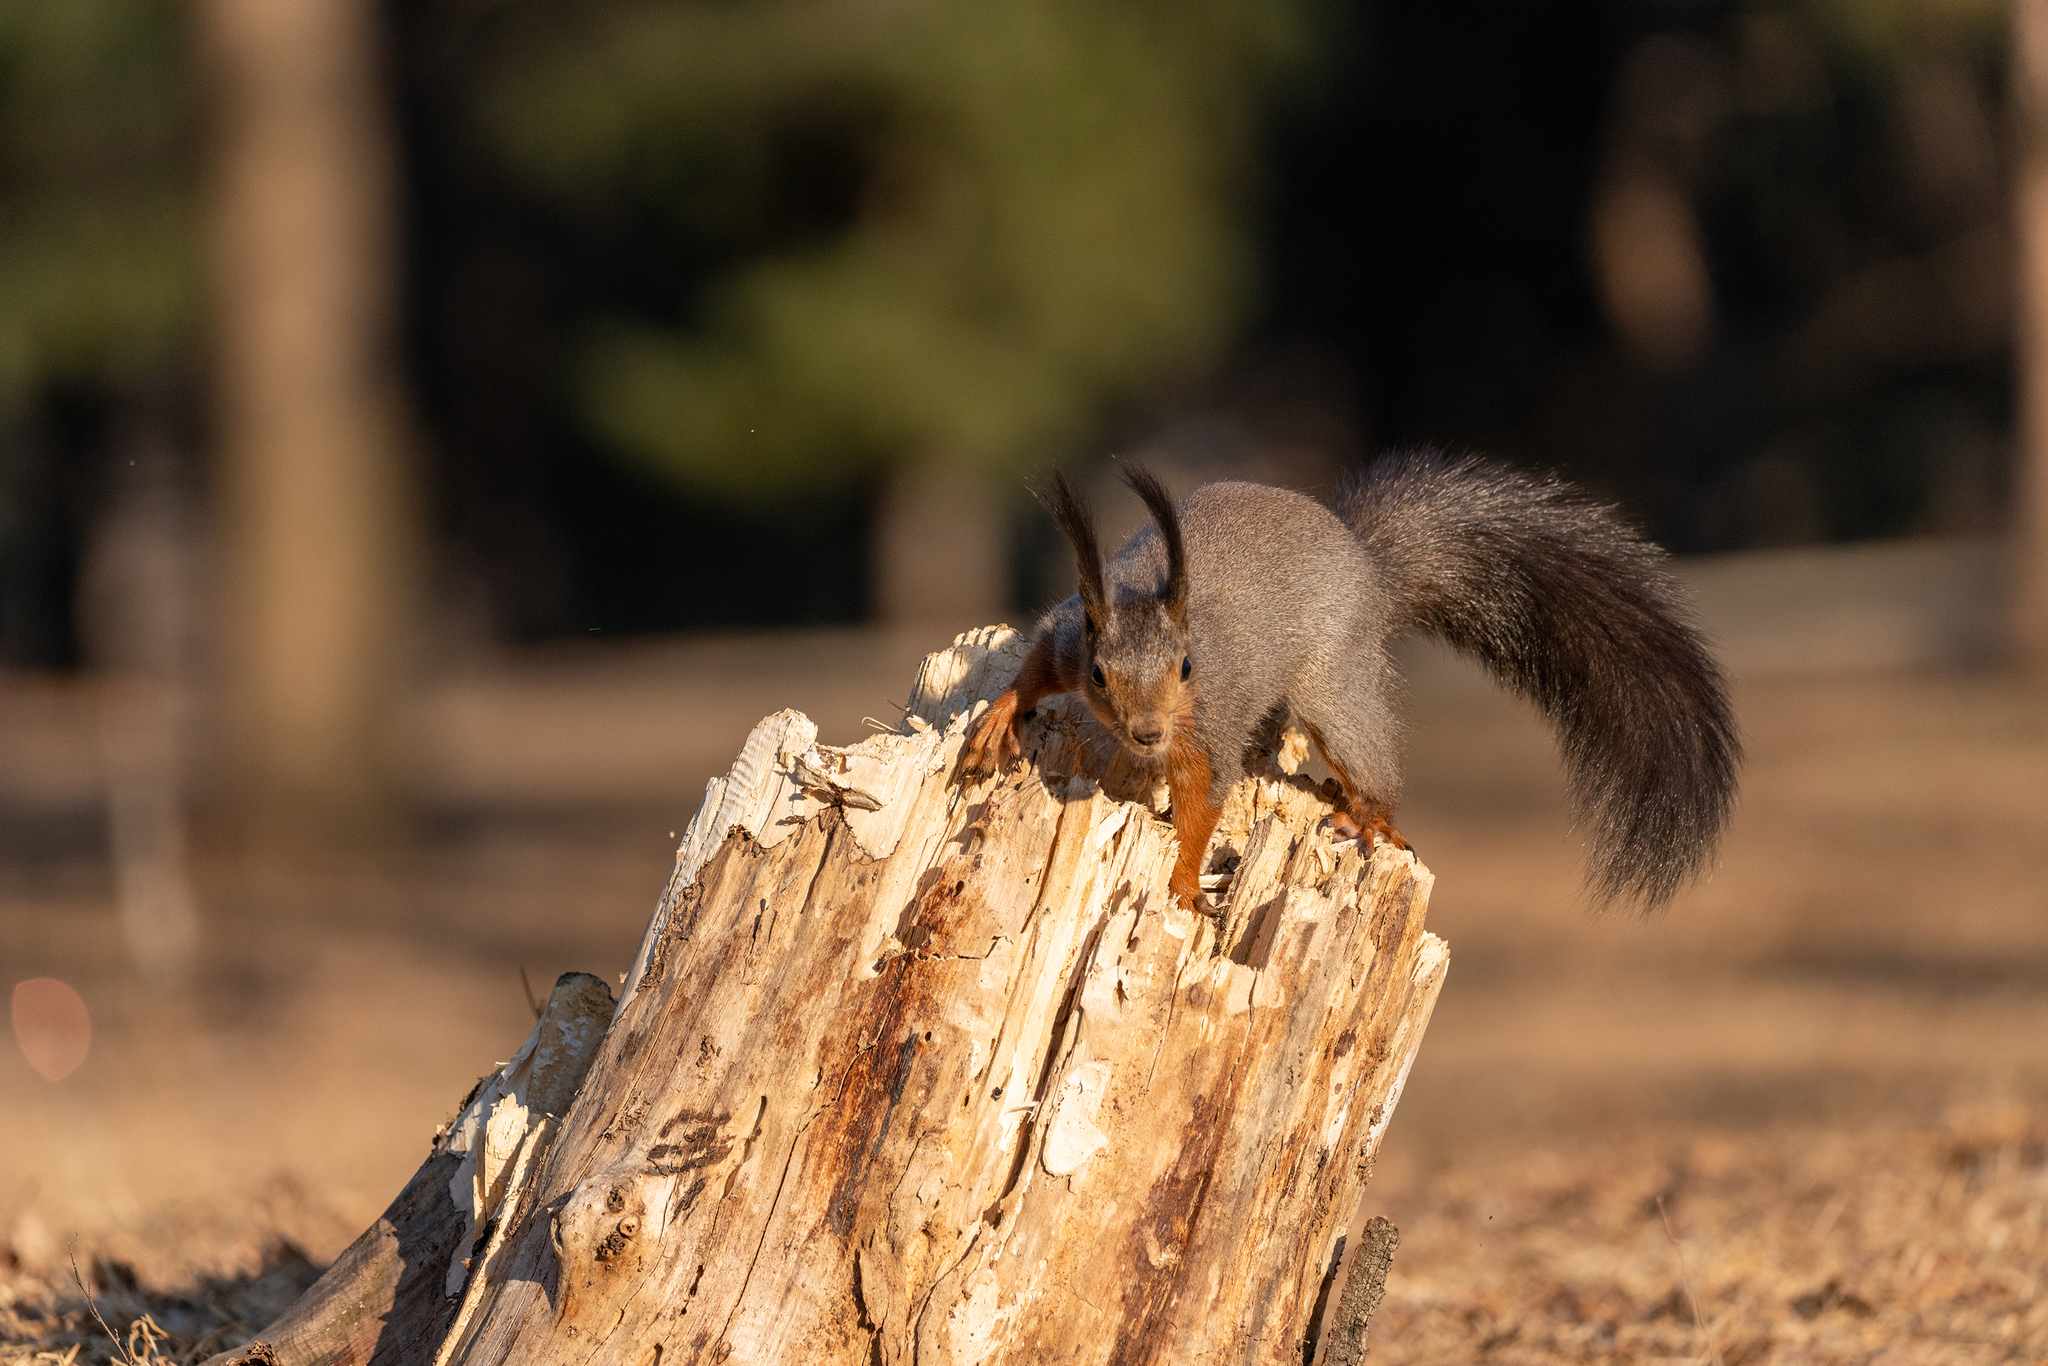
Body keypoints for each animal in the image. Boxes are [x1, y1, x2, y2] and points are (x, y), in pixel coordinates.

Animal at [950, 454, 1736, 913]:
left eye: (1188, 668)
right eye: (1100, 674)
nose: (1146, 733)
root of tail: (1367, 563)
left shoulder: (1209, 724)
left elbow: (1203, 803)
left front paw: (1182, 882)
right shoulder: (1067, 635)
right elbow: (1033, 670)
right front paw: (997, 720)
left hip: (1335, 683)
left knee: (1365, 755)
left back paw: (1370, 817)